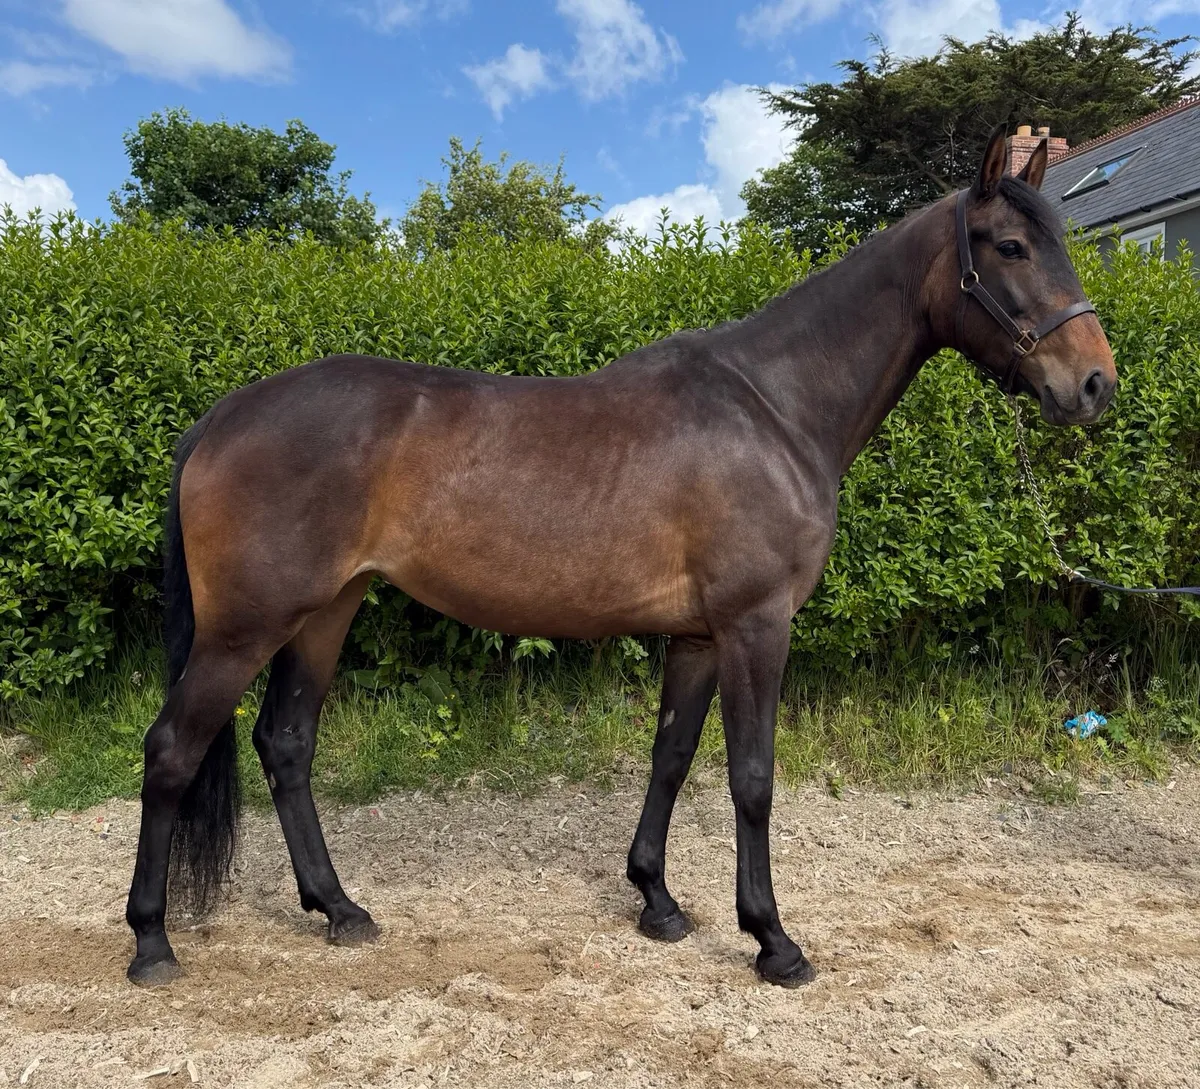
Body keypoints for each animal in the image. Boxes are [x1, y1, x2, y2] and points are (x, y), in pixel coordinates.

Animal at [125, 127, 1116, 988]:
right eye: (1010, 246)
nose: (1096, 383)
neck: (774, 406)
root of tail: (222, 417)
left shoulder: (701, 635)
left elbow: (671, 756)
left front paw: (658, 900)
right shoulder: (757, 626)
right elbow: (752, 780)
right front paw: (773, 939)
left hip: (326, 612)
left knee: (286, 746)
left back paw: (339, 908)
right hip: (245, 628)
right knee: (172, 749)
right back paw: (151, 941)